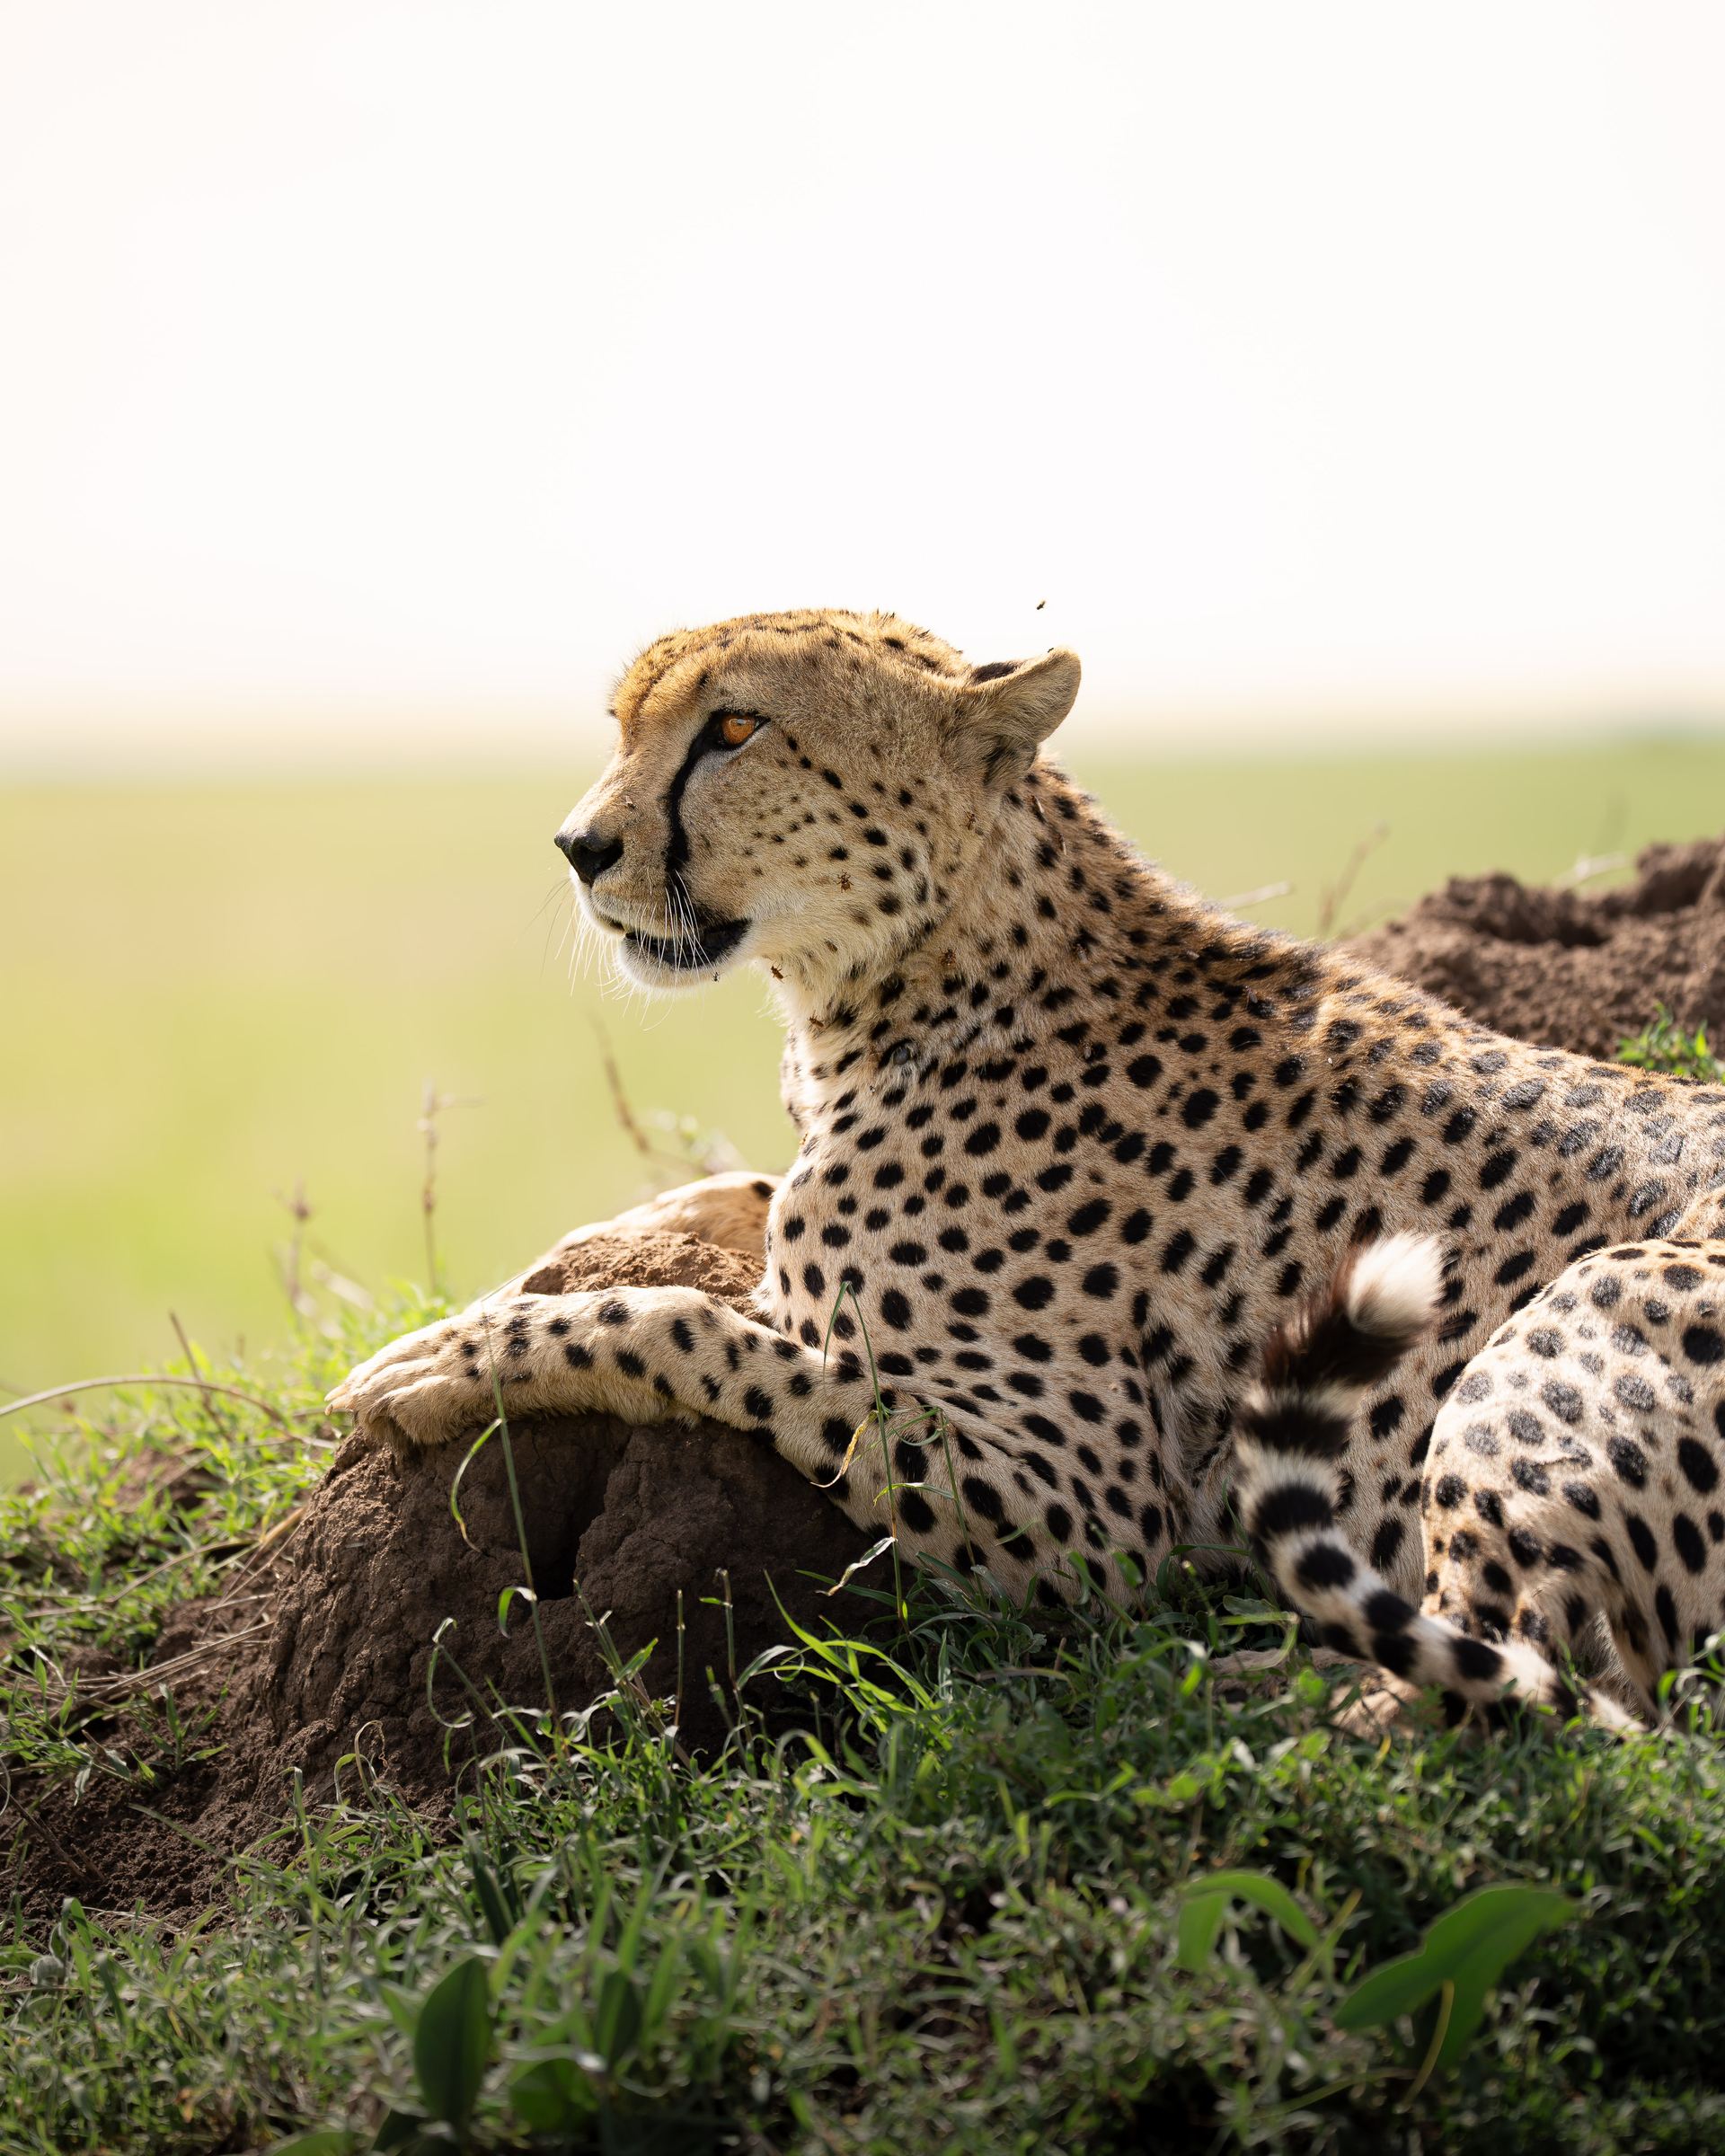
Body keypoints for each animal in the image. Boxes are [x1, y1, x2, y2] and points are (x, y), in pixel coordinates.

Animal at [329, 607, 1725, 1727]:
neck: (919, 976)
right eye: (623, 723)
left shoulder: (1094, 1520)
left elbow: (698, 1330)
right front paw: (543, 1267)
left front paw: (454, 1357)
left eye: (733, 727)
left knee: (1526, 1690)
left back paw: (1255, 1693)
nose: (579, 847)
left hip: (1566, 1326)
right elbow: (736, 1206)